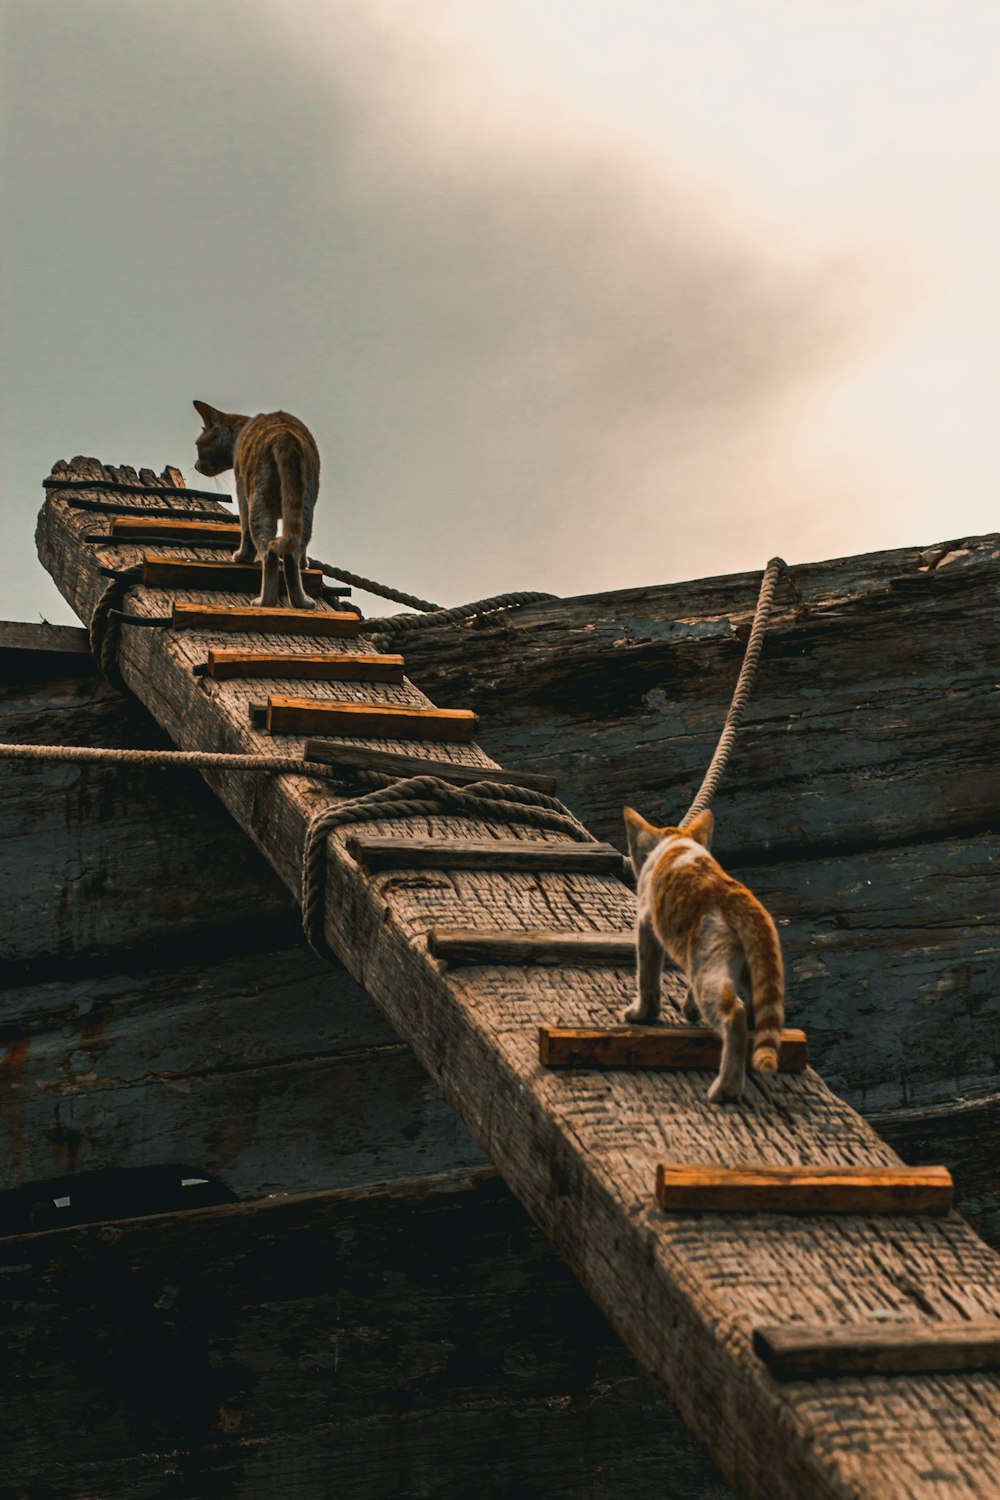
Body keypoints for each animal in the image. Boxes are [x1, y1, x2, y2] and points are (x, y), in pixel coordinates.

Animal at [193, 405, 319, 609]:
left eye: (198, 445)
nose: (196, 466)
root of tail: (284, 435)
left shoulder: (241, 491)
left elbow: (244, 531)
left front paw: (242, 557)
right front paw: (305, 563)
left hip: (259, 504)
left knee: (268, 553)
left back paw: (264, 601)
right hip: (303, 507)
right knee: (293, 552)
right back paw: (302, 602)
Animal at [626, 810, 779, 1104]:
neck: (676, 841)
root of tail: (738, 898)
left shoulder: (647, 924)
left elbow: (646, 975)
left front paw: (642, 1014)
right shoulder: (696, 956)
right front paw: (689, 1008)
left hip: (708, 972)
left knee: (735, 1015)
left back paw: (725, 1089)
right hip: (744, 968)